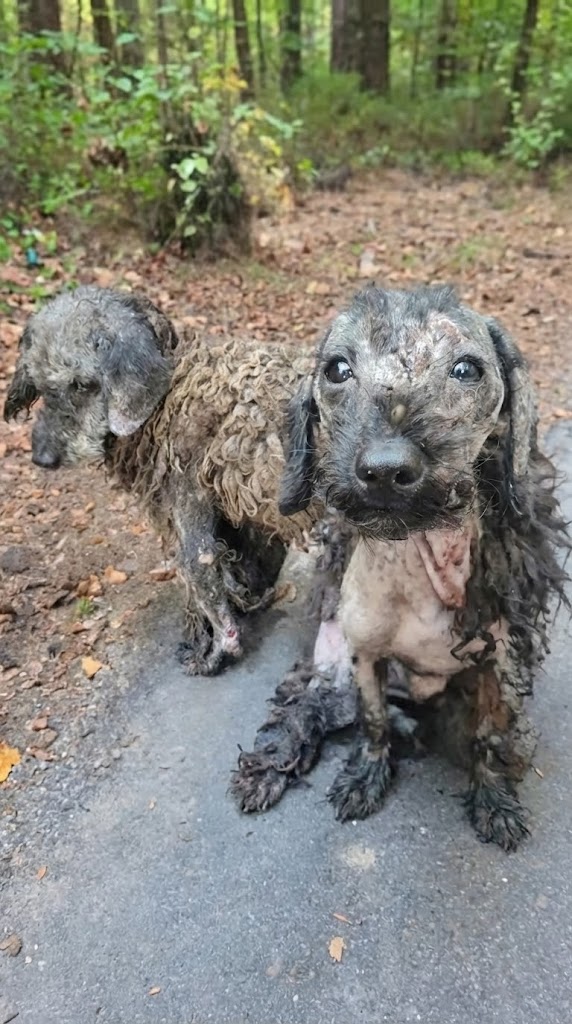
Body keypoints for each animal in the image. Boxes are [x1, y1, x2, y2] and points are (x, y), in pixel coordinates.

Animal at [3, 286, 321, 675]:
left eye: (82, 384)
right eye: (40, 384)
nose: (43, 458)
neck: (170, 390)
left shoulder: (189, 509)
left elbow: (206, 587)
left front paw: (213, 653)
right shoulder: (242, 520)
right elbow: (251, 568)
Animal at [232, 284, 569, 850]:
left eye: (466, 369)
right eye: (338, 369)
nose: (386, 469)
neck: (422, 558)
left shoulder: (496, 666)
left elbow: (489, 736)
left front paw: (493, 799)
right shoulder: (365, 659)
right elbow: (373, 726)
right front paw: (367, 775)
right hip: (332, 675)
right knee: (304, 710)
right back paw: (268, 767)